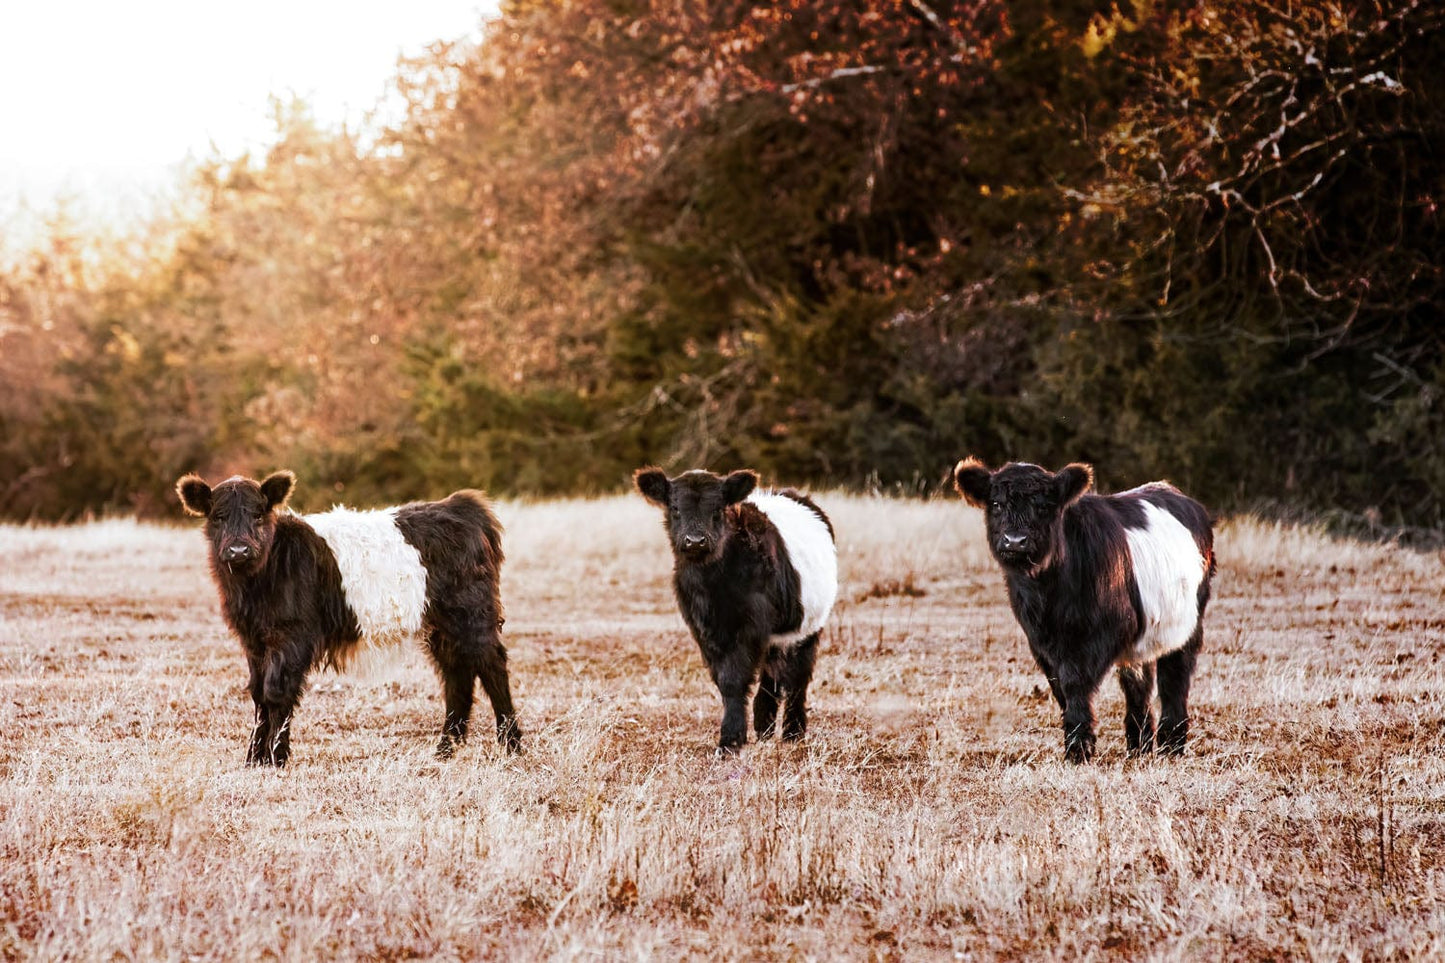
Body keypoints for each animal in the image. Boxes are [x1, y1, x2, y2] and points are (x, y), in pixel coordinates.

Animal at [176, 471, 520, 765]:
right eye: (218, 516)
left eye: (258, 514)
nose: (238, 550)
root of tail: (460, 505)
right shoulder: (254, 640)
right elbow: (259, 694)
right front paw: (254, 760)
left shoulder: (292, 636)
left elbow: (277, 692)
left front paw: (277, 758)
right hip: (441, 626)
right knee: (457, 674)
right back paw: (445, 750)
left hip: (472, 615)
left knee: (492, 667)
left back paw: (512, 746)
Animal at [633, 468, 837, 754]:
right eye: (674, 508)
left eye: (718, 509)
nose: (695, 541)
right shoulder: (703, 629)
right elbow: (724, 681)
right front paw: (734, 736)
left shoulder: (749, 627)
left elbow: (735, 678)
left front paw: (730, 741)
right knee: (773, 674)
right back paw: (764, 728)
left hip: (809, 625)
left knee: (798, 676)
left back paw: (793, 732)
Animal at [953, 457, 1215, 763]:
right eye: (996, 504)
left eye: (1044, 506)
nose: (1015, 540)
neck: (1047, 594)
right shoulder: (1041, 644)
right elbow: (1061, 689)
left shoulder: (1100, 635)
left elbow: (1076, 684)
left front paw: (1078, 750)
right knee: (1138, 683)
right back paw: (1138, 747)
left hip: (1189, 624)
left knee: (1175, 678)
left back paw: (1171, 746)